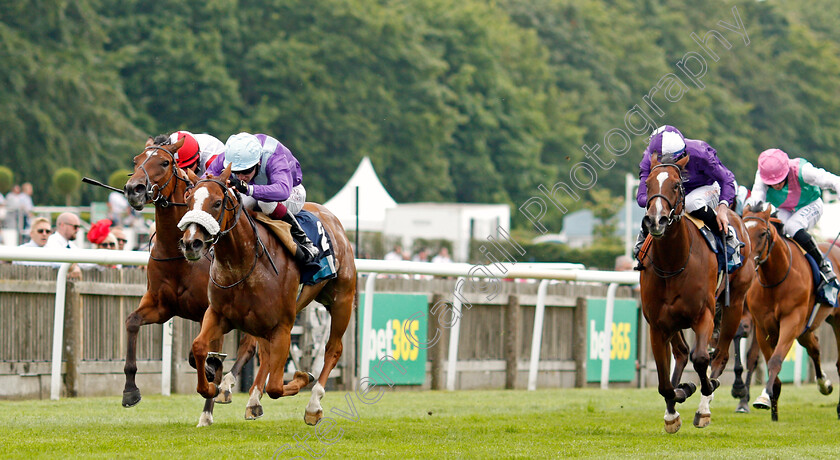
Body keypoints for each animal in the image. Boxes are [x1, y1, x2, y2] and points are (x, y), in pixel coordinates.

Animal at [123, 137, 258, 428]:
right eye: (136, 160)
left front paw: (210, 391)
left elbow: (203, 355)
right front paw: (130, 391)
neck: (178, 255)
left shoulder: (211, 311)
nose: (133, 189)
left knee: (251, 347)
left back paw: (234, 394)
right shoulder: (160, 306)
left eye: (164, 162)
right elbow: (132, 322)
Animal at [179, 164, 356, 426]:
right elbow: (199, 346)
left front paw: (303, 378)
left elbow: (276, 387)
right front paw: (211, 388)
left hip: (341, 300)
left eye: (218, 203)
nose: (192, 243)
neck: (242, 264)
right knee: (265, 353)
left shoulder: (283, 325)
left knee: (333, 349)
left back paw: (313, 404)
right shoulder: (219, 314)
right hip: (261, 322)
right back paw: (253, 400)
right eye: (188, 200)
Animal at [640, 154, 752, 432]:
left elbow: (701, 358)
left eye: (677, 185)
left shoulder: (705, 314)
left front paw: (702, 394)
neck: (674, 262)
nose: (655, 220)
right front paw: (676, 403)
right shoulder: (657, 324)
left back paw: (706, 403)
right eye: (647, 184)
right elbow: (663, 381)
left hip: (735, 303)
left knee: (720, 355)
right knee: (680, 353)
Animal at [740, 202, 840, 420]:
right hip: (806, 329)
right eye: (743, 230)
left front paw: (767, 393)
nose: (746, 262)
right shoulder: (763, 328)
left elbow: (776, 361)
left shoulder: (791, 321)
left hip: (835, 320)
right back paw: (824, 384)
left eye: (763, 233)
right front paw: (771, 408)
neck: (775, 280)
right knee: (814, 347)